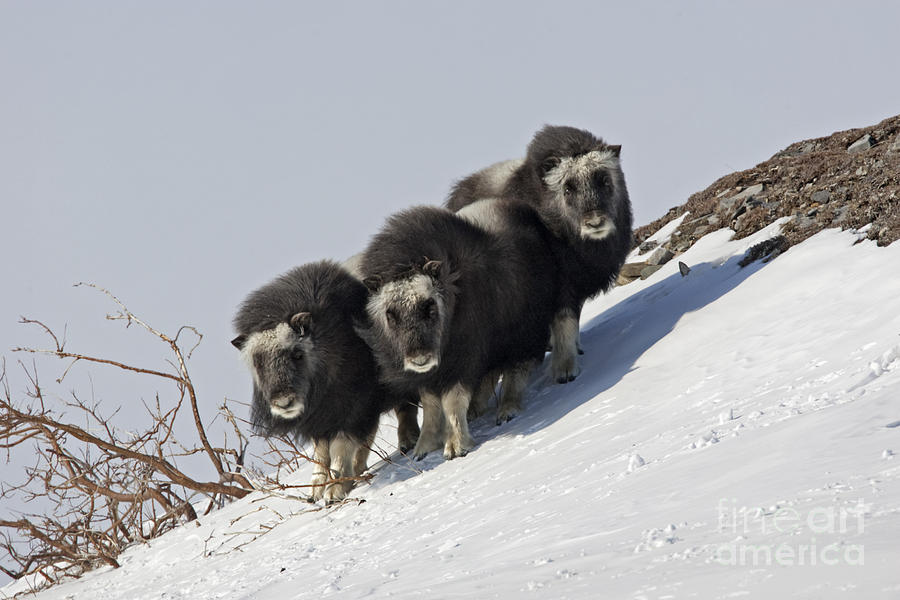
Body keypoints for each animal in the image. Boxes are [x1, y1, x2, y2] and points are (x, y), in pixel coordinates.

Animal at [230, 262, 416, 502]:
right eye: (258, 362)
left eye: (297, 354)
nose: (284, 403)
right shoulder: (321, 420)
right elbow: (321, 453)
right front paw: (316, 491)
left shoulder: (352, 411)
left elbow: (341, 447)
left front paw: (334, 490)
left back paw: (407, 443)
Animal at [356, 206, 556, 460]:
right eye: (391, 314)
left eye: (429, 305)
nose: (419, 358)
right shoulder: (430, 375)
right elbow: (431, 405)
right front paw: (423, 448)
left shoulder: (463, 361)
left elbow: (452, 400)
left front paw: (455, 447)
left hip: (524, 334)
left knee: (516, 370)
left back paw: (507, 410)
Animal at [444, 123, 628, 382]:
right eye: (568, 188)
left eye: (604, 180)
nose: (595, 223)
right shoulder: (560, 283)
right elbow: (565, 320)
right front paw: (565, 371)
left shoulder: (576, 282)